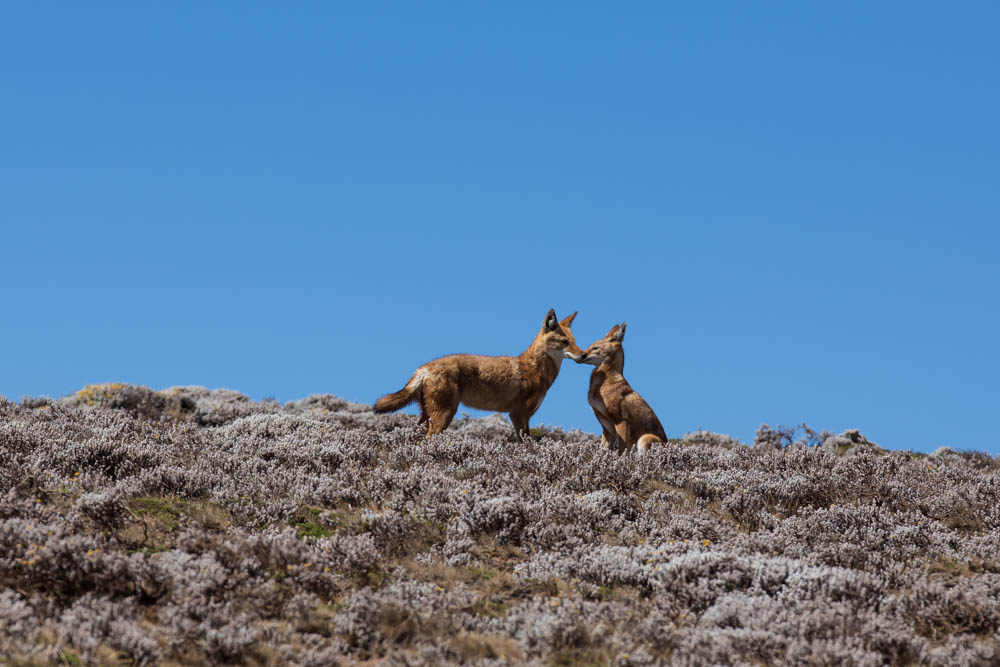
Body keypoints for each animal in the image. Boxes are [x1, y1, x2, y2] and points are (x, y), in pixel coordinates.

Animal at [376, 310, 584, 438]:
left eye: (575, 341)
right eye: (565, 342)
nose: (583, 355)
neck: (535, 369)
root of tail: (424, 368)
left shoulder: (520, 416)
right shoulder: (518, 414)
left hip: (428, 417)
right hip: (445, 416)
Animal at [576, 322, 668, 454]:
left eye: (595, 348)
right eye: (589, 346)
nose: (580, 355)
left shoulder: (621, 422)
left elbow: (621, 452)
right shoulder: (605, 428)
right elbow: (603, 450)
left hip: (644, 439)